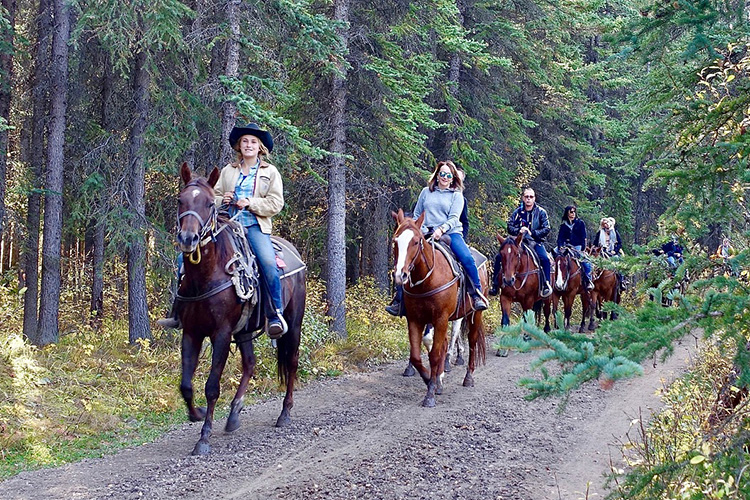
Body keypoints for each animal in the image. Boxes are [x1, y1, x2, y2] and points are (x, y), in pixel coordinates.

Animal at [175, 163, 306, 454]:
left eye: (209, 203)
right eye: (181, 200)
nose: (188, 239)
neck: (206, 276)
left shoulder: (222, 334)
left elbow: (212, 386)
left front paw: (204, 438)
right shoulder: (191, 332)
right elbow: (186, 385)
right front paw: (197, 414)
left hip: (294, 322)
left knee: (291, 362)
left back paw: (285, 413)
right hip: (245, 330)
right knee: (250, 364)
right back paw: (234, 414)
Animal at [390, 209, 490, 408]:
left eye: (415, 241)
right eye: (395, 241)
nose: (400, 275)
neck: (427, 279)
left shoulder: (441, 318)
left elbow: (435, 354)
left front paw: (430, 393)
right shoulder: (415, 319)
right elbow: (417, 355)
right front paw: (431, 379)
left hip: (474, 314)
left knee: (472, 341)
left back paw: (468, 377)